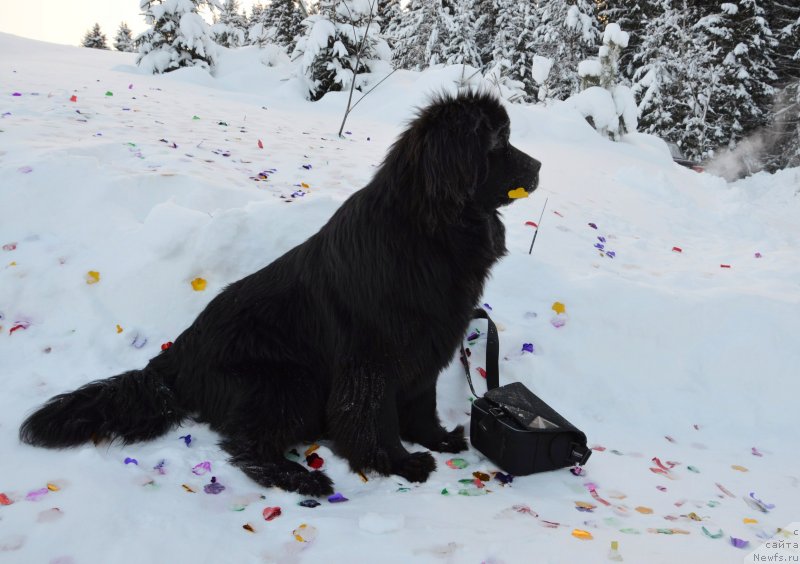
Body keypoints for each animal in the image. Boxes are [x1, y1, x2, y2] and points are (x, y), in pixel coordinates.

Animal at [20, 90, 544, 496]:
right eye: (499, 142)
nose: (540, 163)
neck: (428, 229)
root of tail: (175, 357)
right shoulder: (370, 358)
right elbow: (373, 418)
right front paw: (398, 461)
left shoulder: (427, 344)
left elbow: (420, 401)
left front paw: (435, 439)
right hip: (287, 383)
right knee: (246, 445)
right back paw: (302, 478)